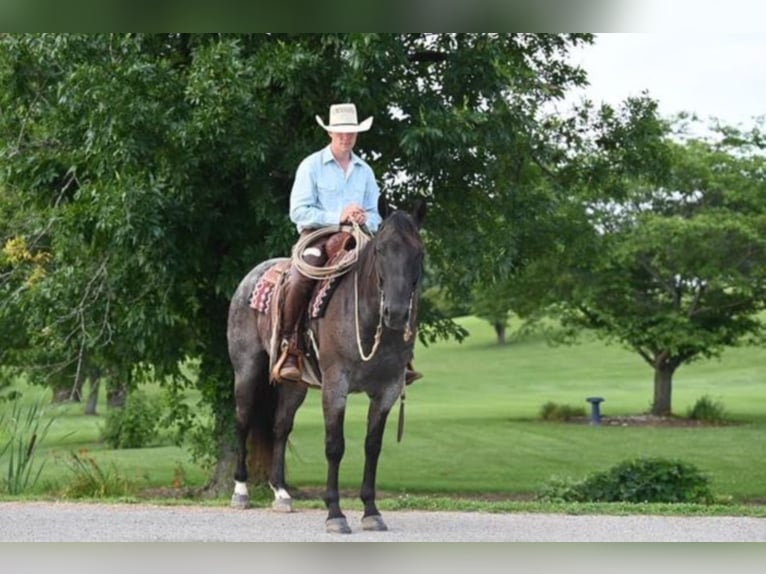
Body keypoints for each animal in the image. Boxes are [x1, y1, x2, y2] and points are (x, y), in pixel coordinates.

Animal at [228, 204, 428, 536]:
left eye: (419, 253)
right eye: (381, 250)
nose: (397, 313)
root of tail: (252, 277)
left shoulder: (386, 390)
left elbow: (373, 446)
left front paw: (371, 511)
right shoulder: (336, 386)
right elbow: (335, 446)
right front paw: (335, 513)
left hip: (294, 385)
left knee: (280, 426)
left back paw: (281, 493)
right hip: (247, 371)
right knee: (243, 420)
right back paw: (240, 490)